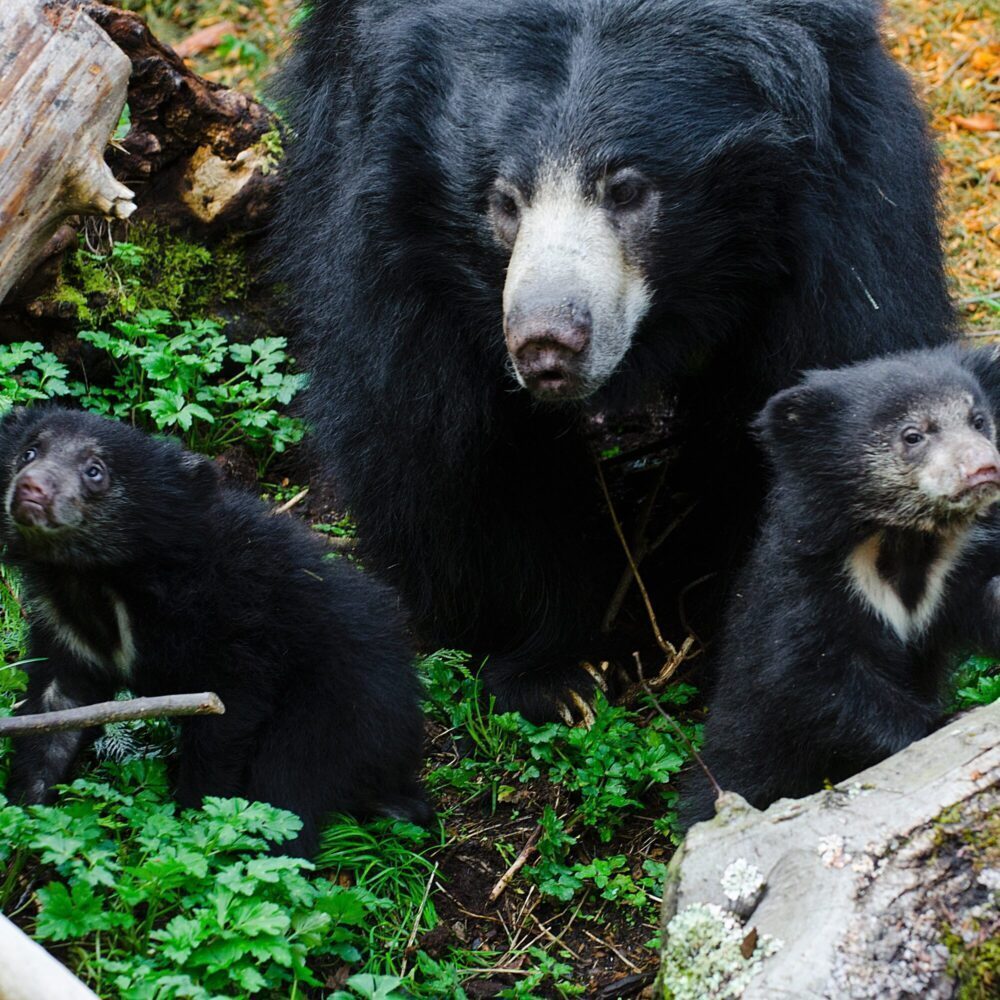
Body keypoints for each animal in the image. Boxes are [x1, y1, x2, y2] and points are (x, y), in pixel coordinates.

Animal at [0, 406, 431, 856]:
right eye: (29, 451)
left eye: (95, 471)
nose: (31, 488)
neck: (97, 578)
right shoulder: (64, 629)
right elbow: (56, 712)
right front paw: (25, 807)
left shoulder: (231, 627)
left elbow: (226, 720)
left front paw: (197, 822)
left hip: (337, 711)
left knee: (287, 785)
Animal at [271, 0, 954, 722]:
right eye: (503, 201)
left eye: (624, 191)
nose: (546, 342)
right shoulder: (392, 227)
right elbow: (438, 439)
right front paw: (555, 675)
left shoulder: (835, 208)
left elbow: (822, 391)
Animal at [680, 347, 1000, 826]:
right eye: (913, 435)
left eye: (978, 420)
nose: (984, 467)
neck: (905, 537)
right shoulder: (809, 586)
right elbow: (813, 678)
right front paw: (939, 722)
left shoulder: (957, 570)